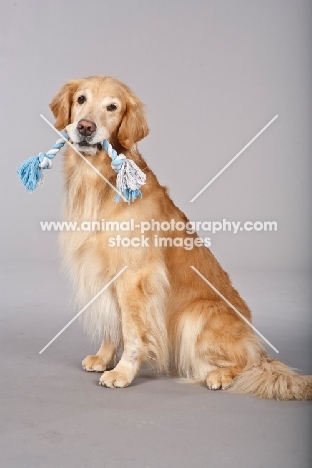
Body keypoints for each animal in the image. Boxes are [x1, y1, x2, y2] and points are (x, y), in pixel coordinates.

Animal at [50, 77, 310, 398]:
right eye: (81, 99)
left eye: (112, 107)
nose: (86, 127)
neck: (99, 182)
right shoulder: (105, 275)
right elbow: (114, 324)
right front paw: (104, 358)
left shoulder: (135, 276)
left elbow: (133, 331)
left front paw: (122, 372)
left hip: (196, 313)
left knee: (250, 362)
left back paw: (221, 376)